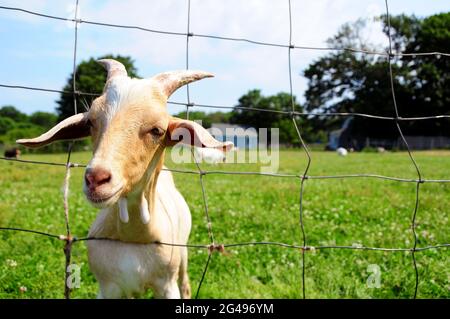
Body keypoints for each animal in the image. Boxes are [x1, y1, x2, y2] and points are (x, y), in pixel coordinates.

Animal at [16, 60, 232, 300]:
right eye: (90, 122)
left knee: (185, 283)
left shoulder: (167, 284)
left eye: (157, 130)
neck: (132, 236)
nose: (96, 178)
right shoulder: (107, 287)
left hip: (183, 253)